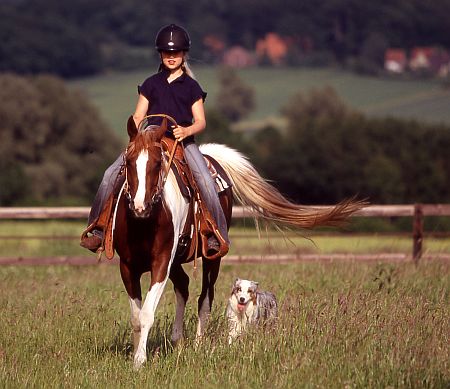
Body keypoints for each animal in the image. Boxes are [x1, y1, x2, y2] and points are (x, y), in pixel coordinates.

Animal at [114, 115, 364, 366]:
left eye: (158, 163)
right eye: (128, 161)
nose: (141, 207)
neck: (144, 224)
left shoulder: (162, 262)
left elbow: (146, 313)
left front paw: (140, 361)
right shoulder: (127, 267)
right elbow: (136, 316)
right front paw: (136, 353)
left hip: (211, 258)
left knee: (205, 298)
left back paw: (197, 344)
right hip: (177, 261)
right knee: (183, 286)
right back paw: (177, 340)